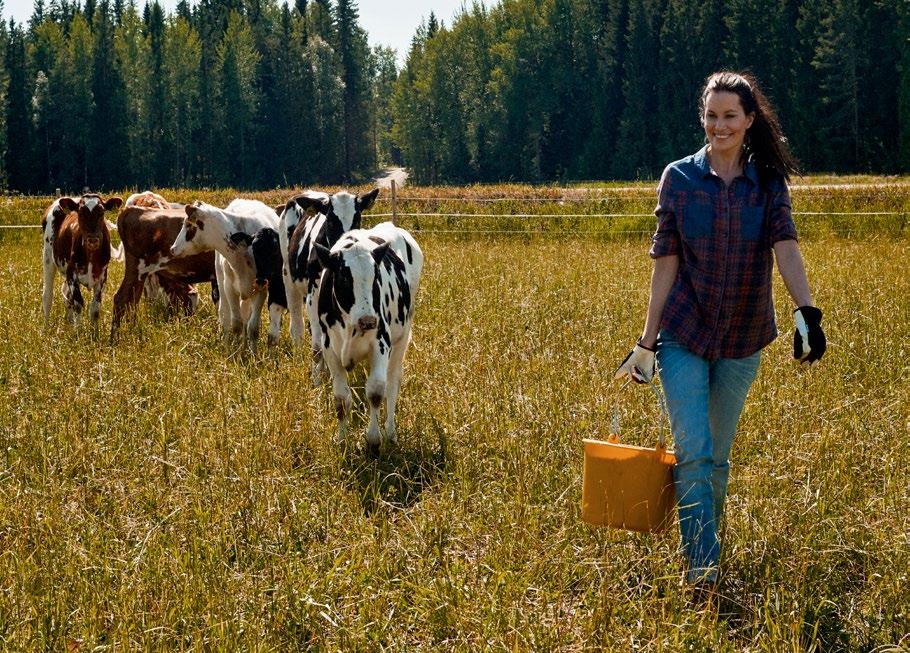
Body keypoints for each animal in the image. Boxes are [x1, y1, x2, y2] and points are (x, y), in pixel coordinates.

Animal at [42, 192, 124, 326]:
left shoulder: (102, 277)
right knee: (48, 296)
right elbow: (78, 304)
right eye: (80, 213)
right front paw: (79, 330)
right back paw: (46, 328)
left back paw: (69, 323)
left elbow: (95, 309)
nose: (93, 239)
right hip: (48, 257)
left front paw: (94, 331)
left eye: (102, 212)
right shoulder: (72, 275)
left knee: (66, 295)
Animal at [278, 186, 378, 374]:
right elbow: (318, 346)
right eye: (330, 221)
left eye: (357, 219)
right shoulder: (313, 295)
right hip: (288, 276)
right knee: (297, 325)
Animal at [312, 219, 426, 448]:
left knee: (392, 384)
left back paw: (390, 432)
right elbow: (341, 399)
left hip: (402, 337)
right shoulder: (330, 349)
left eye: (376, 278)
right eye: (344, 279)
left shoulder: (381, 344)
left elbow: (375, 391)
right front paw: (342, 440)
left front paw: (374, 439)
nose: (368, 320)